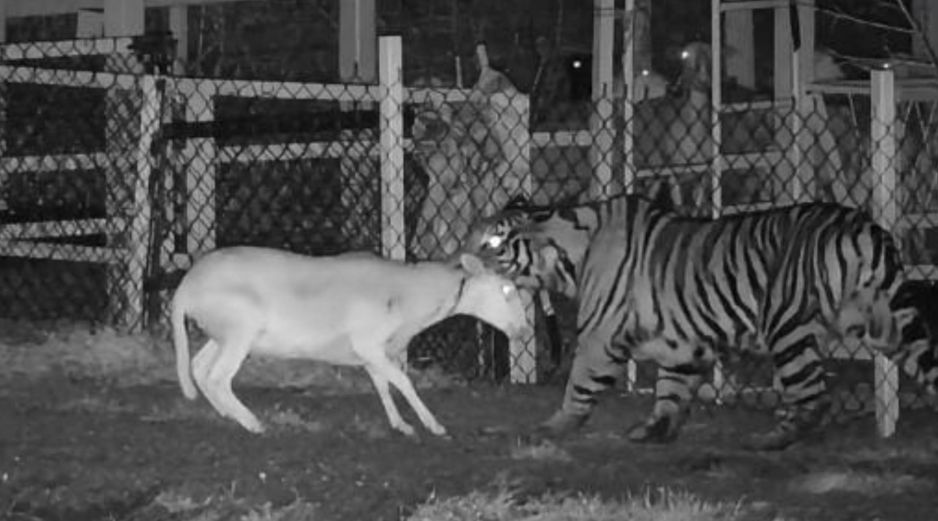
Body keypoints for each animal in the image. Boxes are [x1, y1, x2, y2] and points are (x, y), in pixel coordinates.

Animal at [458, 192, 938, 451]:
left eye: (494, 241)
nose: (461, 257)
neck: (567, 255)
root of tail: (864, 226)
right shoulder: (680, 343)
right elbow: (670, 393)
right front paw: (654, 431)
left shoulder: (597, 335)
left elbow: (578, 384)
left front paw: (552, 428)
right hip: (888, 322)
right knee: (926, 363)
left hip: (786, 324)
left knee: (813, 396)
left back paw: (769, 441)